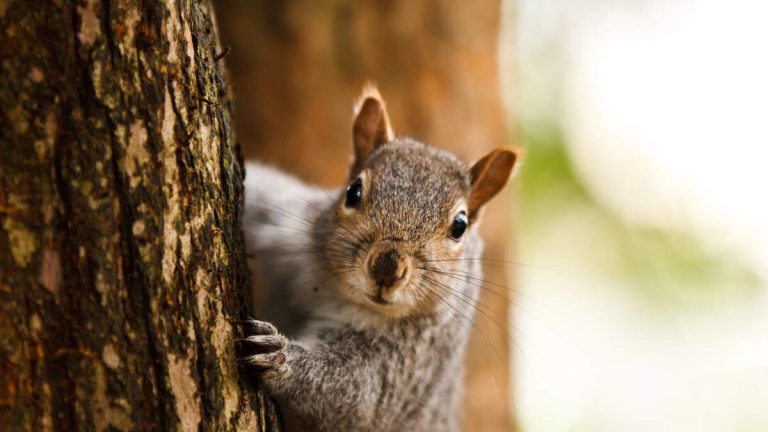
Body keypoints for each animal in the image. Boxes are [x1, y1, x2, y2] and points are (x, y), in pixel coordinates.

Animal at [240, 85, 517, 432]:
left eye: (460, 226)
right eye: (353, 191)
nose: (386, 269)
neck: (338, 293)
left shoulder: (408, 361)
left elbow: (356, 393)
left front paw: (280, 356)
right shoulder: (287, 227)